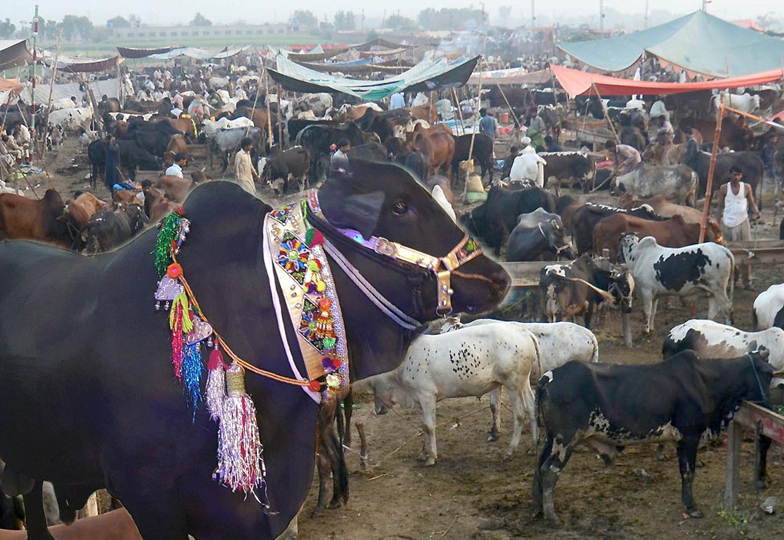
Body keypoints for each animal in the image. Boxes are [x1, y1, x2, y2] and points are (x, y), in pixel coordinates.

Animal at [366, 322, 540, 466]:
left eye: (371, 384)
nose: (378, 410)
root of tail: (522, 331)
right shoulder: (421, 398)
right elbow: (423, 425)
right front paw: (423, 453)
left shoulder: (426, 395)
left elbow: (428, 426)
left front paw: (431, 457)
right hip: (523, 381)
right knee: (531, 408)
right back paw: (533, 445)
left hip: (512, 383)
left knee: (520, 414)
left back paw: (510, 451)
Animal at [536, 350, 776, 524]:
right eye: (768, 375)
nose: (771, 406)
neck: (706, 381)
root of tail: (550, 376)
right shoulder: (689, 436)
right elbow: (689, 473)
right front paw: (692, 506)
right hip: (565, 440)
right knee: (549, 470)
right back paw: (552, 517)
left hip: (551, 439)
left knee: (539, 467)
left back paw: (537, 510)